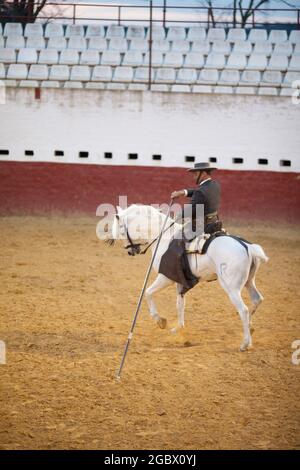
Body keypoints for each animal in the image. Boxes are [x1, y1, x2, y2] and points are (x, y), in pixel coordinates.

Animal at [110, 204, 270, 350]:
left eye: (122, 232)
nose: (131, 251)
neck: (164, 237)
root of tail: (247, 246)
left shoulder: (166, 277)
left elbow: (147, 292)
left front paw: (160, 321)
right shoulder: (180, 282)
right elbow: (180, 304)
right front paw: (178, 328)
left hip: (231, 288)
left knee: (243, 310)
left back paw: (245, 343)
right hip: (249, 282)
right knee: (257, 299)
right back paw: (251, 328)